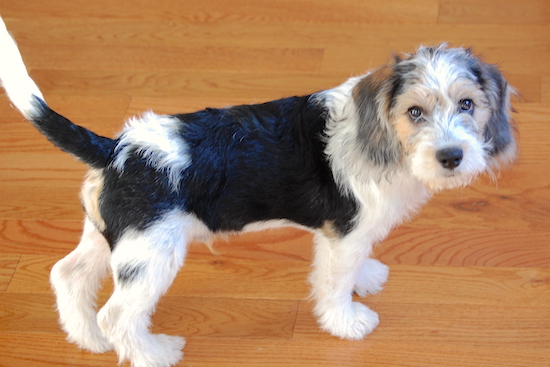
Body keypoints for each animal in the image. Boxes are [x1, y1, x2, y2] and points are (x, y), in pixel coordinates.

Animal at [0, 16, 516, 367]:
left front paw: (366, 277)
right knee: (120, 314)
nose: (451, 156)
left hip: (111, 237)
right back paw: (154, 352)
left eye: (467, 104)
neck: (383, 138)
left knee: (68, 276)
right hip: (151, 255)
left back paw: (88, 338)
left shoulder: (348, 233)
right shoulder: (344, 235)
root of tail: (117, 148)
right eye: (414, 112)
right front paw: (347, 321)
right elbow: (335, 283)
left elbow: (355, 266)